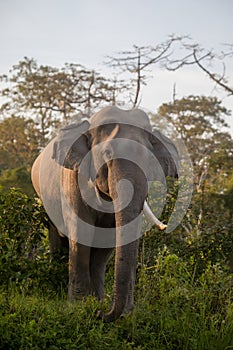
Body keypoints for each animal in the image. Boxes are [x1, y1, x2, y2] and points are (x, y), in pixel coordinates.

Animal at [31, 105, 178, 322]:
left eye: (150, 160)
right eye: (107, 153)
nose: (101, 314)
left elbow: (109, 239)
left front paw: (114, 309)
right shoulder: (72, 178)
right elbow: (81, 232)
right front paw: (78, 306)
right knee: (56, 237)